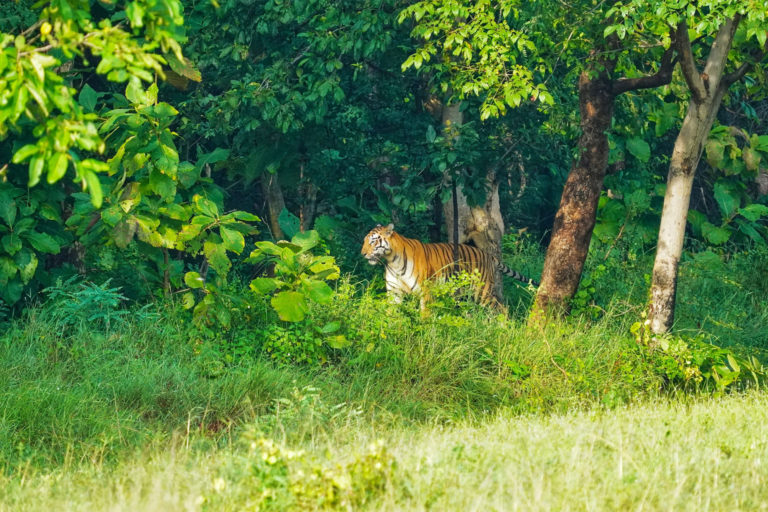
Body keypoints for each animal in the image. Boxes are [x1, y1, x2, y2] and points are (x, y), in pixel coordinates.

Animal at [362, 221, 536, 308]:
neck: (392, 261)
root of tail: (488, 255)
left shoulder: (426, 292)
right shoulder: (394, 292)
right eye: (364, 241)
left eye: (373, 241)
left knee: (501, 308)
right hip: (466, 294)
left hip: (482, 290)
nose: (362, 253)